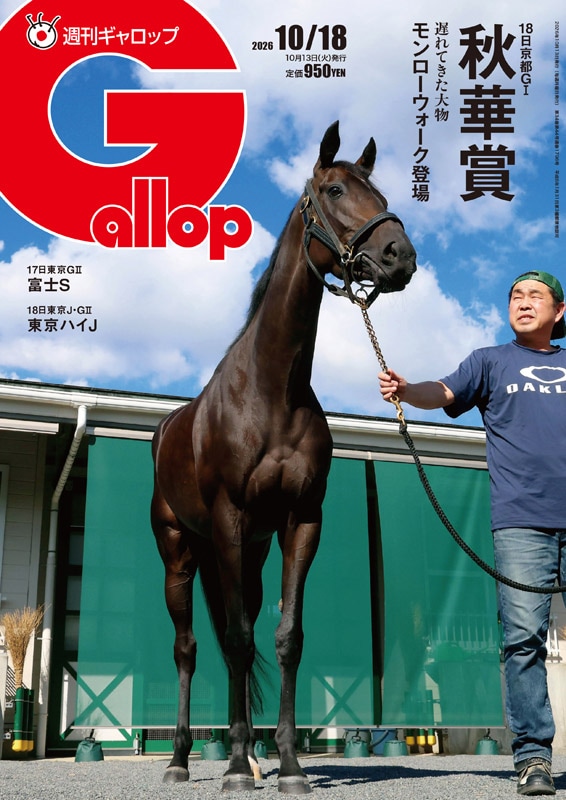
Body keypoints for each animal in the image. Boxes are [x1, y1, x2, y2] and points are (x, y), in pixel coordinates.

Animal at [151, 120, 416, 793]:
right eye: (334, 190)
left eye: (380, 193)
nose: (401, 256)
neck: (273, 389)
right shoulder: (227, 520)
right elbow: (239, 641)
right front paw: (235, 770)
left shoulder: (300, 521)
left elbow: (284, 637)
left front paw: (290, 765)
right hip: (182, 550)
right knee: (191, 647)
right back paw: (184, 759)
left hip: (247, 552)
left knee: (232, 640)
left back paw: (248, 753)